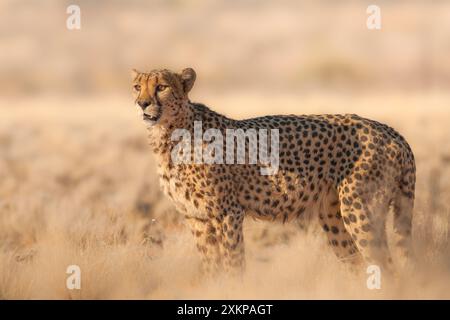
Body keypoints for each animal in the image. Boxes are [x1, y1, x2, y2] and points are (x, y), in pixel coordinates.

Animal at [130, 68, 414, 278]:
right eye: (137, 87)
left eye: (161, 87)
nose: (142, 103)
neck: (169, 136)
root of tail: (392, 132)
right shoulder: (196, 217)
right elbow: (211, 265)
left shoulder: (228, 213)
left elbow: (233, 262)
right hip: (334, 216)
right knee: (359, 264)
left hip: (360, 209)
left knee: (385, 267)